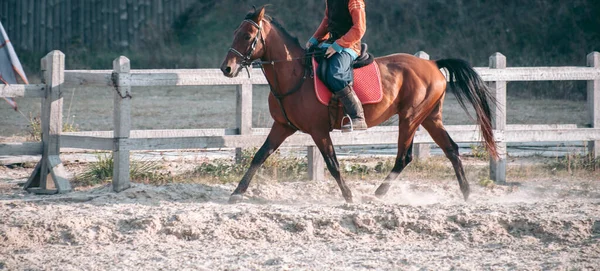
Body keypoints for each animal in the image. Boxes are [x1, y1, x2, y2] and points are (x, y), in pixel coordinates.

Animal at [219, 5, 496, 204]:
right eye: (234, 34)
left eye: (248, 35)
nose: (227, 68)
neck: (297, 74)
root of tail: (432, 64)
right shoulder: (282, 126)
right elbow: (259, 155)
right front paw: (237, 193)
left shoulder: (318, 131)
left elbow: (332, 163)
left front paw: (349, 197)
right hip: (430, 118)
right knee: (451, 149)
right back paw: (466, 194)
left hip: (410, 118)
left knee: (404, 157)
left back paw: (379, 193)